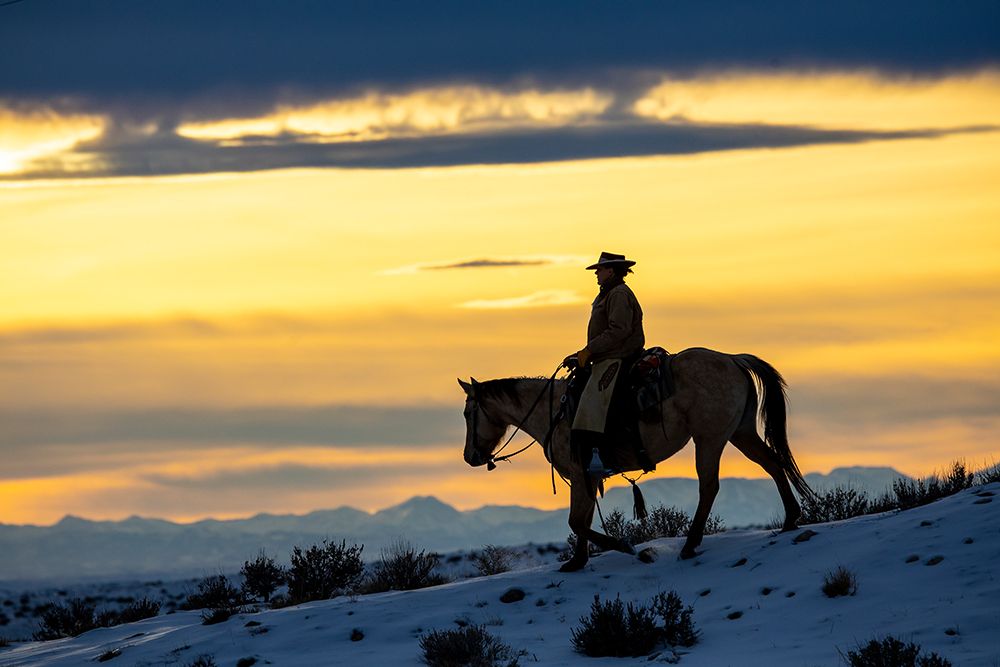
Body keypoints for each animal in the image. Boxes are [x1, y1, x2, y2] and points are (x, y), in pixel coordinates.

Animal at [458, 348, 816, 572]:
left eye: (466, 413)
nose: (470, 457)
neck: (554, 412)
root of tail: (733, 359)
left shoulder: (580, 473)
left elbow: (576, 522)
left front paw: (624, 547)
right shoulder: (586, 477)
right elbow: (582, 520)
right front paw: (576, 563)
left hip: (709, 439)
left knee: (709, 487)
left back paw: (690, 545)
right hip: (740, 433)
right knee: (772, 463)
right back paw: (790, 519)